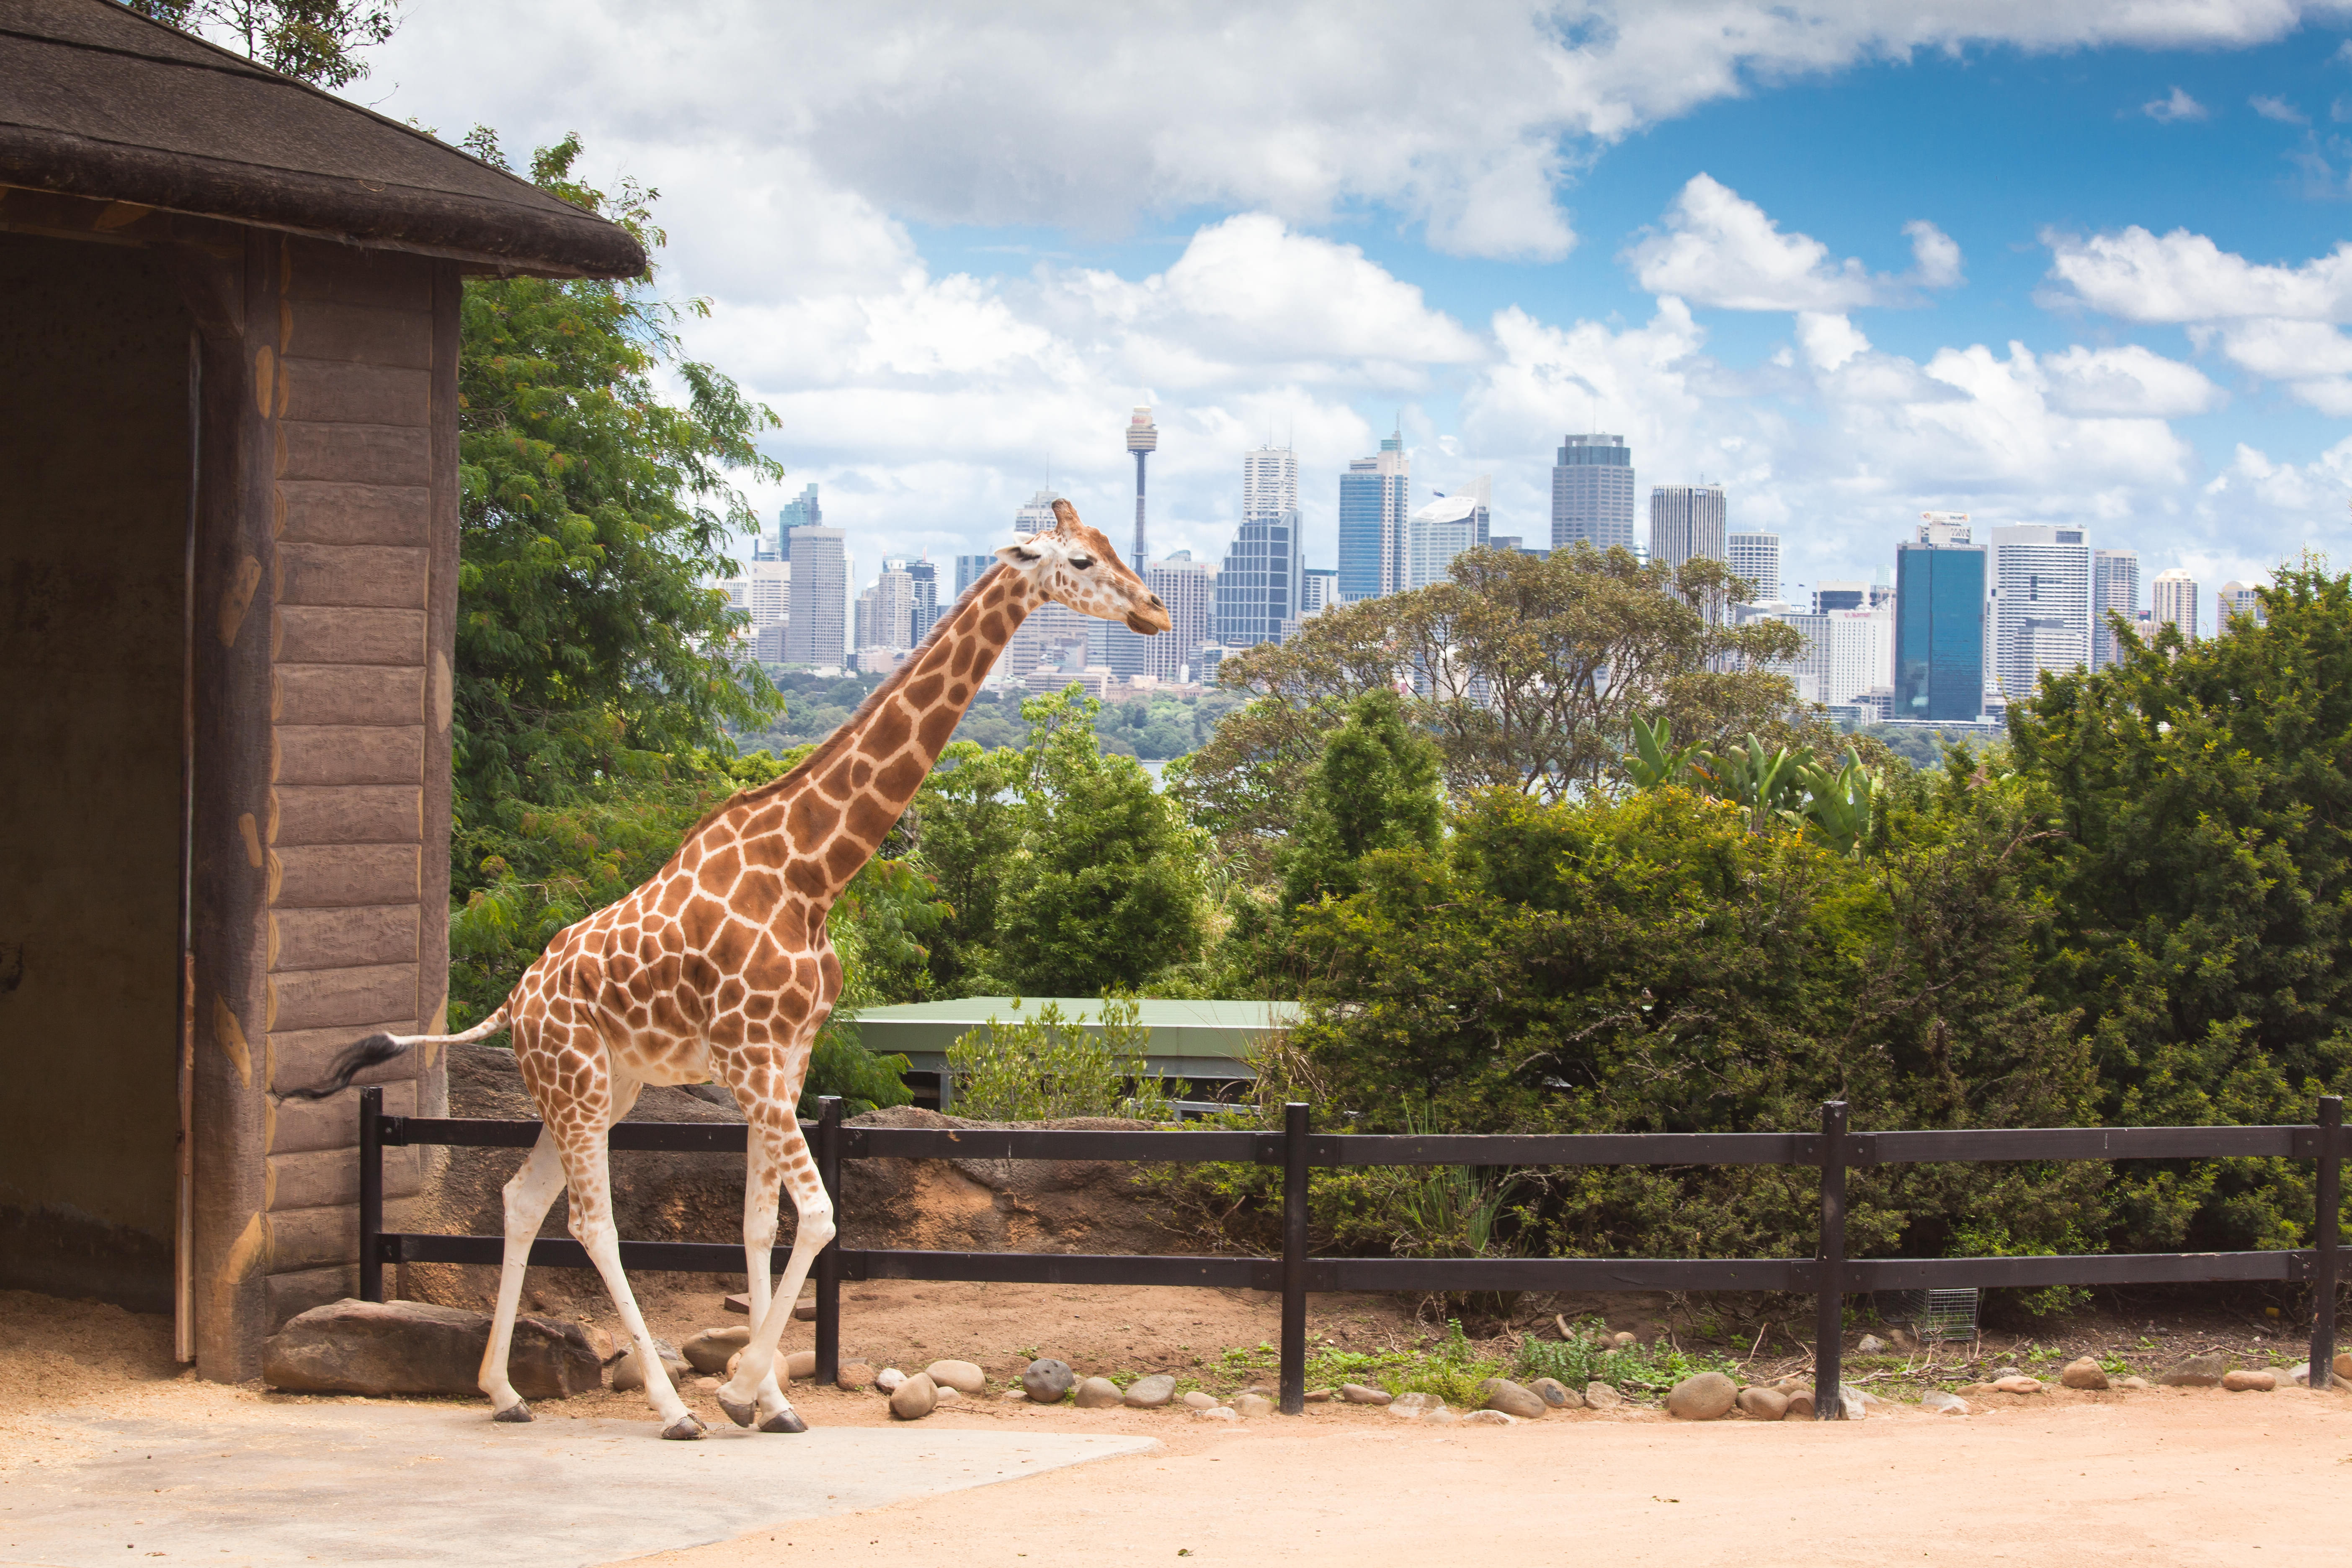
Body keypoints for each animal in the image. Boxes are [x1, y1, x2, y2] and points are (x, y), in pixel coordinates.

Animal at [299, 500, 1171, 1439]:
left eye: (1113, 545)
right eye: (1080, 560)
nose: (1155, 611)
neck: (811, 874)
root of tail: (512, 1002)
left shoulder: (784, 1058)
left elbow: (761, 1223)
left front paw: (776, 1400)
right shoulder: (750, 1057)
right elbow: (819, 1216)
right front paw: (739, 1387)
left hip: (601, 1088)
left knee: (520, 1199)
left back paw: (504, 1390)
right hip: (577, 1085)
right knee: (592, 1221)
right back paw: (670, 1404)